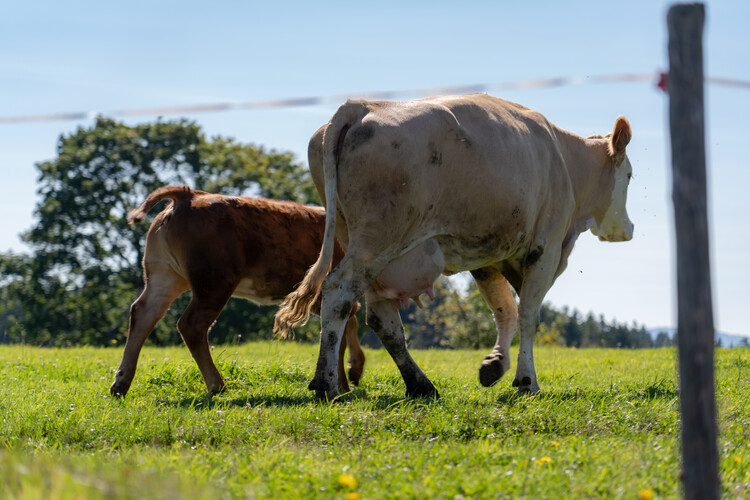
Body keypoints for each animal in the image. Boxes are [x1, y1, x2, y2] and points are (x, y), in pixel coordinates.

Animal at [110, 186, 366, 396]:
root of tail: (189, 195)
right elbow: (340, 332)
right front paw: (342, 385)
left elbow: (348, 323)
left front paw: (353, 370)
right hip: (214, 281)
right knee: (191, 325)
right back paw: (217, 384)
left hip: (165, 275)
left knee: (143, 313)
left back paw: (121, 383)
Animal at [276, 92, 636, 400]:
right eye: (630, 175)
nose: (629, 228)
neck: (565, 160)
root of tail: (361, 106)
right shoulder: (545, 249)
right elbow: (527, 315)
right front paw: (526, 380)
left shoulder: (488, 255)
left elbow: (504, 310)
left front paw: (495, 366)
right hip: (377, 240)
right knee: (338, 291)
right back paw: (326, 383)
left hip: (367, 244)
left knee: (382, 317)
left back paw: (419, 384)